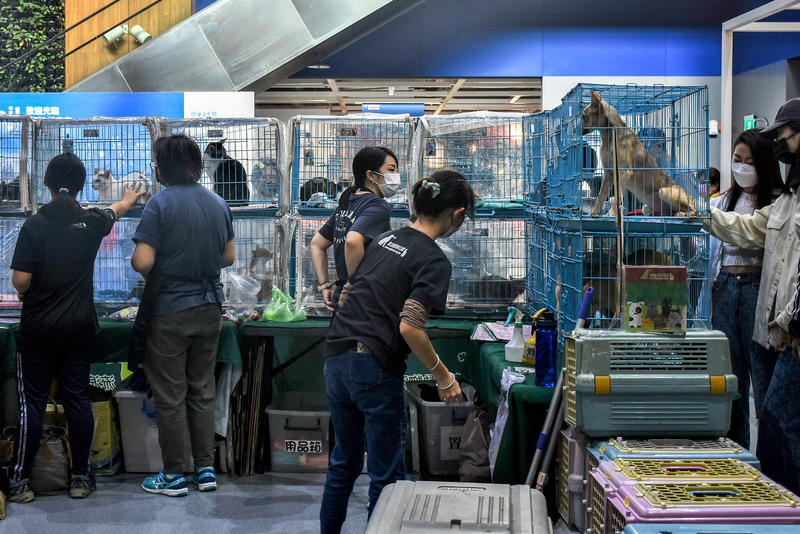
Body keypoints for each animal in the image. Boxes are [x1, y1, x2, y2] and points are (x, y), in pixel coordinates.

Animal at [580, 90, 692, 218]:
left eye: (583, 116)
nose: (573, 130)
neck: (608, 137)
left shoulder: (623, 173)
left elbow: (617, 199)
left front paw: (610, 214)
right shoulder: (608, 174)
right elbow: (600, 198)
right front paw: (592, 214)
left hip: (665, 192)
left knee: (694, 212)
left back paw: (682, 213)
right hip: (645, 207)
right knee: (665, 212)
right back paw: (658, 213)